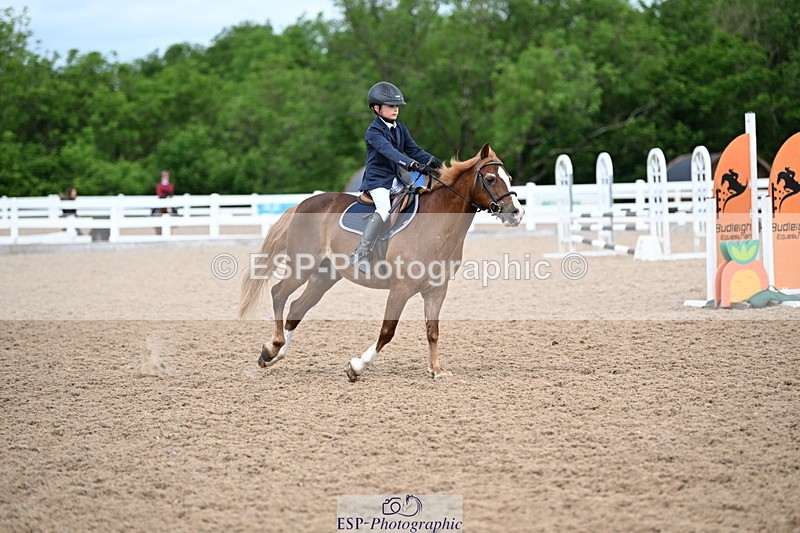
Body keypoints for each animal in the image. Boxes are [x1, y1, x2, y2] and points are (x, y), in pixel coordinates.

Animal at [238, 143, 524, 381]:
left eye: (509, 178)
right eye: (490, 179)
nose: (516, 213)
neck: (436, 224)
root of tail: (301, 204)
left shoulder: (436, 290)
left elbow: (432, 330)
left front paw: (437, 370)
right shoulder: (401, 289)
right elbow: (387, 331)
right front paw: (356, 367)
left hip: (325, 276)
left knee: (297, 308)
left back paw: (271, 355)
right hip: (302, 266)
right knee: (278, 293)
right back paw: (274, 345)